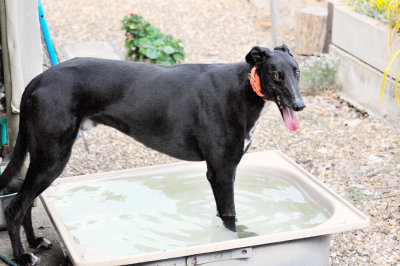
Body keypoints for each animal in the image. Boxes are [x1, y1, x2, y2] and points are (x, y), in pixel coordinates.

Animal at [0, 44, 304, 264]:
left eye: (297, 72)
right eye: (276, 74)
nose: (300, 105)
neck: (242, 88)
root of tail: (37, 79)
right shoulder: (221, 171)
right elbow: (229, 219)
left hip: (43, 156)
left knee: (25, 203)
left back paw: (34, 242)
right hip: (52, 158)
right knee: (14, 207)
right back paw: (21, 256)